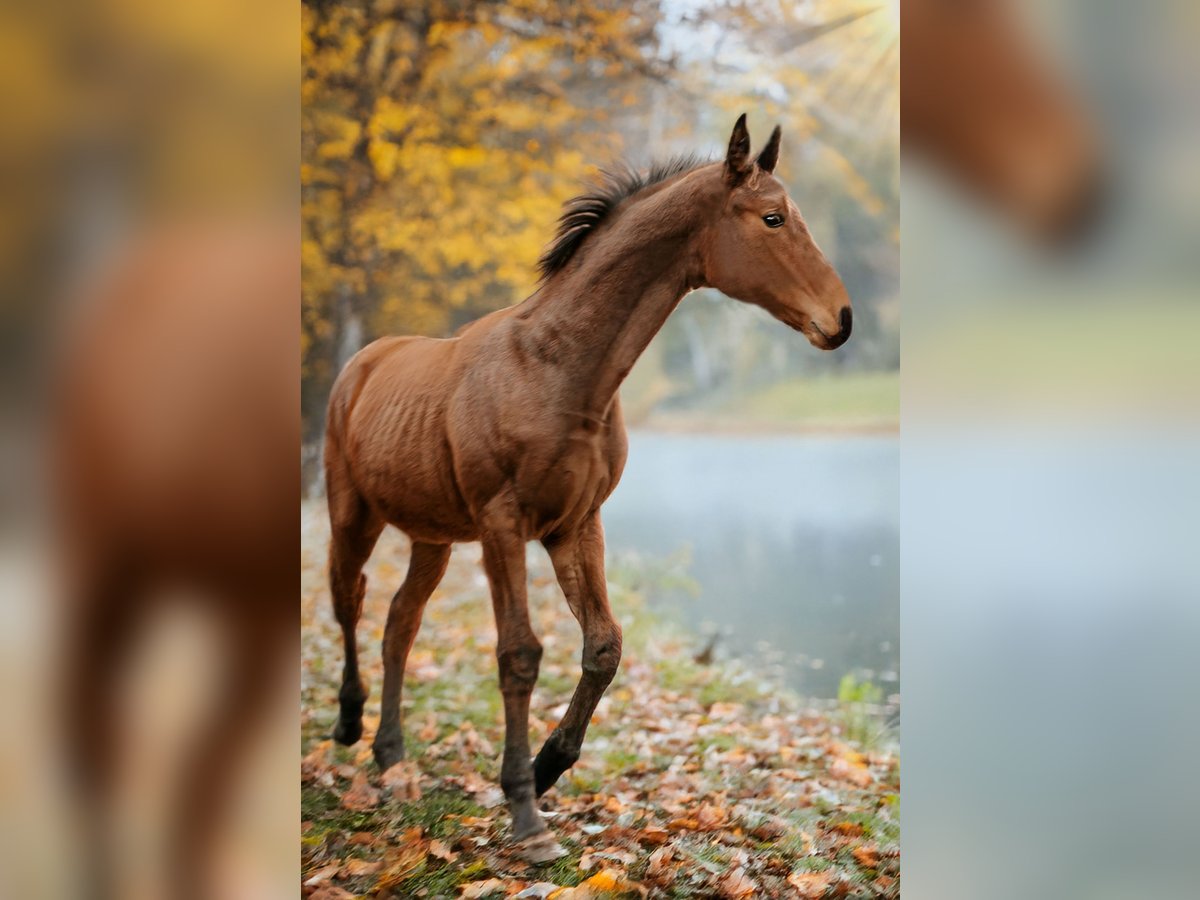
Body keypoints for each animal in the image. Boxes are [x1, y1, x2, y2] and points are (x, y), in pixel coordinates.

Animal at [326, 116, 854, 864]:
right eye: (773, 217)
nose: (841, 319)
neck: (557, 369)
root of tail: (364, 360)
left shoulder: (576, 524)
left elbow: (603, 646)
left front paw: (547, 766)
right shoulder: (504, 524)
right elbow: (519, 654)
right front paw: (525, 813)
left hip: (434, 536)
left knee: (401, 619)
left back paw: (392, 754)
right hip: (354, 514)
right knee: (349, 598)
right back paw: (348, 725)